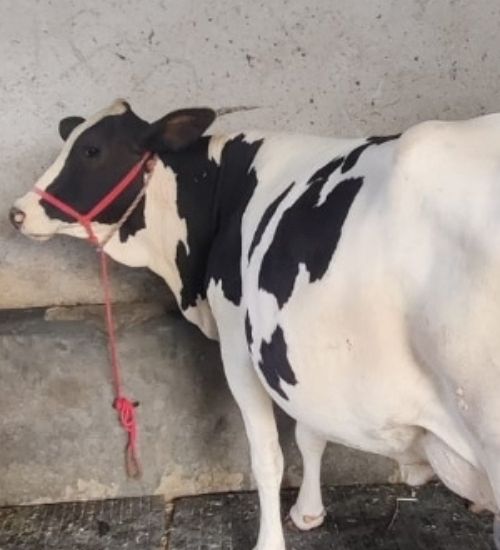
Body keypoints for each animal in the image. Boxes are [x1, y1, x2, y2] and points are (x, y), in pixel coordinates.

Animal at [10, 99, 500, 549]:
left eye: (92, 150)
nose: (17, 212)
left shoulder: (237, 342)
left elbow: (267, 455)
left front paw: (269, 540)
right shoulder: (294, 347)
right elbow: (309, 431)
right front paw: (307, 512)